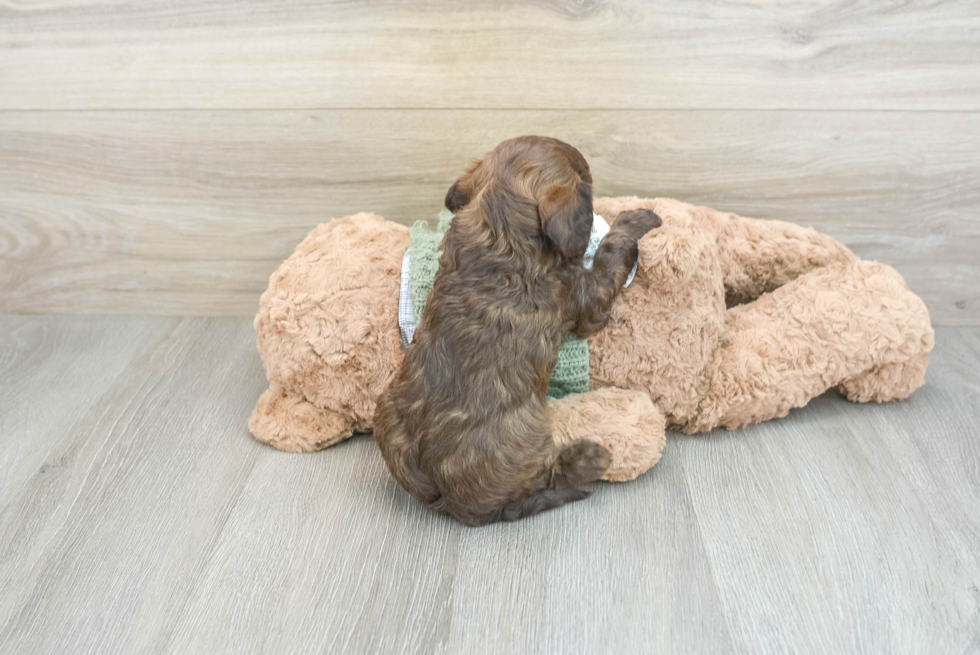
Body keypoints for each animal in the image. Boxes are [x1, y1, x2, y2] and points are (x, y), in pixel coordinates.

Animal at [372, 138, 664, 528]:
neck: (500, 226)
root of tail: (446, 499)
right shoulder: (587, 297)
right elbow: (610, 254)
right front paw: (635, 220)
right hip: (530, 440)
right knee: (544, 485)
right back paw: (588, 459)